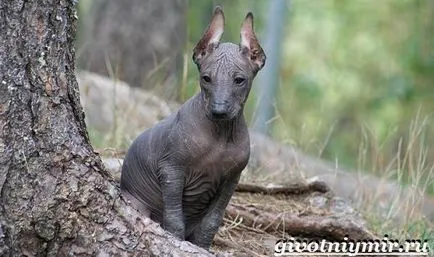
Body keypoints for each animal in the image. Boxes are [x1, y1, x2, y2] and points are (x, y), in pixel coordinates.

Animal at [120, 6, 266, 249]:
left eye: (239, 80)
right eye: (206, 78)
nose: (218, 111)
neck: (220, 135)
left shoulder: (231, 180)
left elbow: (211, 223)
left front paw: (202, 247)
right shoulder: (171, 171)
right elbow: (174, 219)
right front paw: (176, 242)